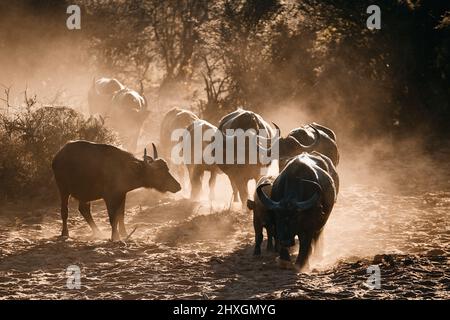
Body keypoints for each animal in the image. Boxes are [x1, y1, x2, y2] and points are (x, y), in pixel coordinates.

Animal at [51, 140, 180, 240]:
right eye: (158, 173)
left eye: (167, 169)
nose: (178, 186)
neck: (125, 169)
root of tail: (58, 156)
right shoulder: (109, 197)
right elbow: (113, 217)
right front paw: (115, 237)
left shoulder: (122, 194)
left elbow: (121, 215)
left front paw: (124, 234)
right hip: (63, 189)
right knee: (65, 211)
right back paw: (65, 233)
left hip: (85, 193)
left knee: (84, 209)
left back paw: (98, 232)